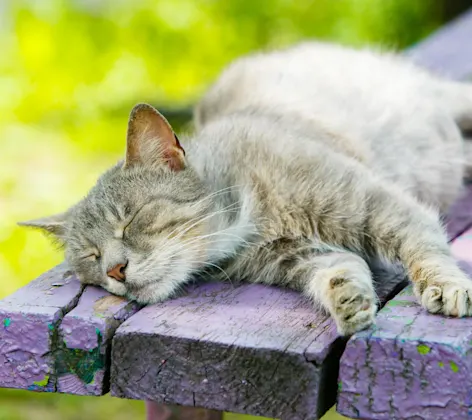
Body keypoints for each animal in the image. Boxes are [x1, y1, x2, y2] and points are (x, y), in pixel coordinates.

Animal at [21, 42, 472, 336]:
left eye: (131, 219)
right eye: (90, 256)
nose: (115, 271)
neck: (248, 214)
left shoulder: (377, 204)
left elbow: (422, 246)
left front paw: (446, 286)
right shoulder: (297, 254)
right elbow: (337, 268)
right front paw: (349, 299)